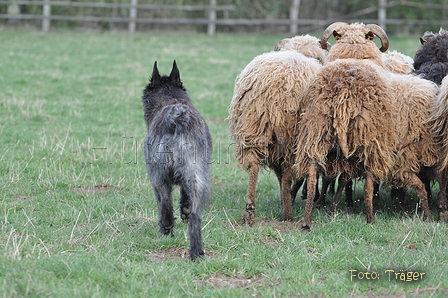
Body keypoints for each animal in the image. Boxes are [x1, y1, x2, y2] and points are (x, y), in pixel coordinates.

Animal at [144, 60, 214, 260]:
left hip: (159, 177)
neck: (171, 100)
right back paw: (196, 252)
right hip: (194, 178)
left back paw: (166, 230)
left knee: (166, 205)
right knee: (193, 215)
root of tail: (176, 119)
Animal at [229, 36, 324, 225]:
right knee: (288, 174)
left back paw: (249, 211)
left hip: (254, 125)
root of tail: (280, 88)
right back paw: (288, 214)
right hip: (294, 135)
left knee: (254, 164)